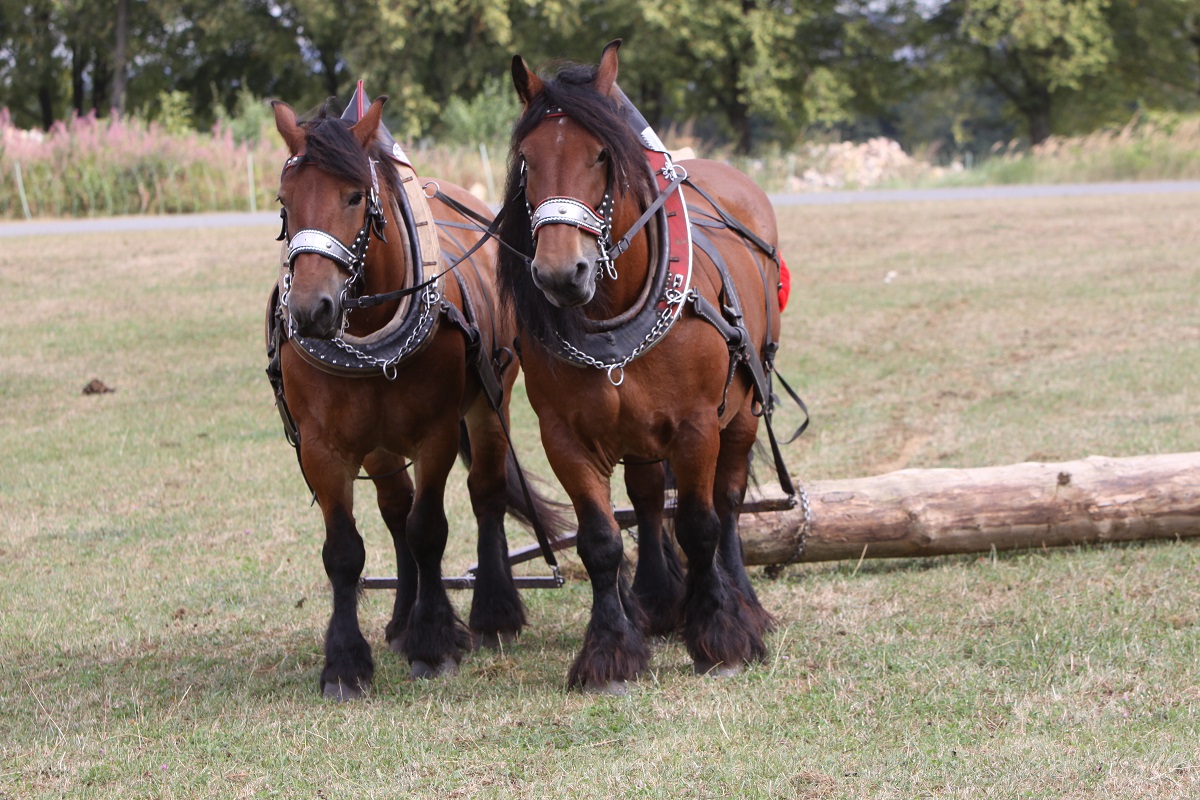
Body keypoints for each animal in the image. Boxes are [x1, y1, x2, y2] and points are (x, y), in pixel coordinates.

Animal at [267, 90, 561, 695]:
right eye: (285, 200)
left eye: (355, 196)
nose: (309, 310)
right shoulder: (323, 449)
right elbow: (346, 551)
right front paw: (346, 663)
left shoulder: (436, 434)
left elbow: (430, 531)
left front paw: (434, 642)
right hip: (378, 445)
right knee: (394, 512)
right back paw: (403, 619)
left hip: (489, 403)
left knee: (486, 493)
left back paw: (492, 614)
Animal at [499, 45, 787, 695]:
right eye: (527, 162)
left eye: (602, 155)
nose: (562, 274)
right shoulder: (565, 437)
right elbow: (601, 540)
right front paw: (610, 651)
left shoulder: (697, 427)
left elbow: (702, 524)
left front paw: (723, 636)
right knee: (650, 498)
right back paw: (657, 602)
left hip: (742, 411)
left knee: (729, 503)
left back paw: (742, 601)